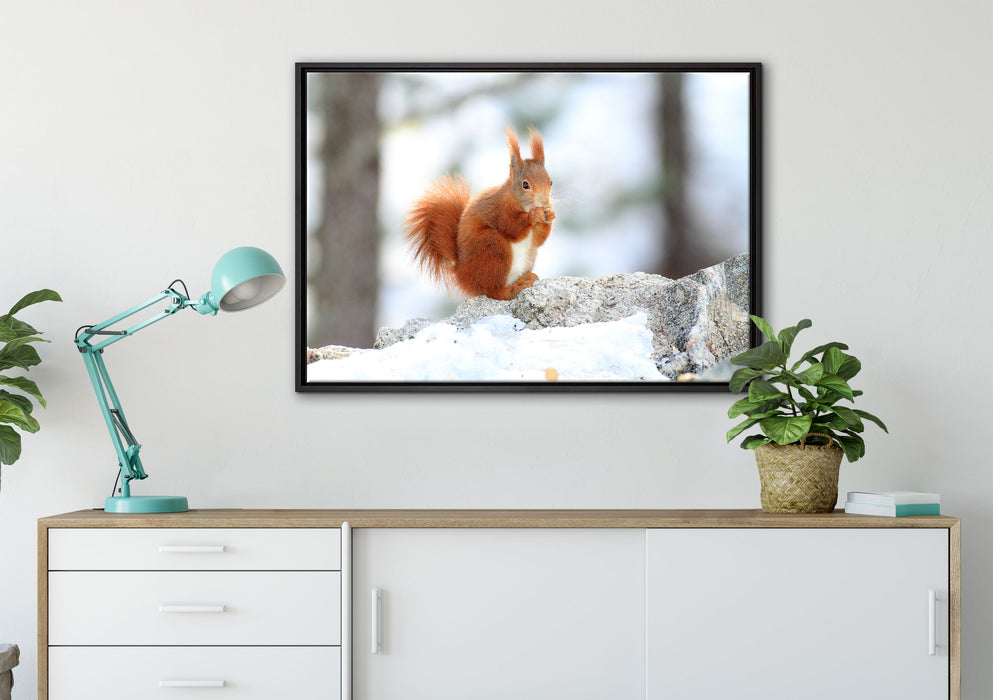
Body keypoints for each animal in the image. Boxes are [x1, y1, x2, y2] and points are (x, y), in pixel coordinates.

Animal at [403, 127, 555, 301]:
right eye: (525, 184)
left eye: (550, 182)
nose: (544, 202)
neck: (520, 203)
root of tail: (461, 274)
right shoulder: (500, 209)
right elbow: (512, 228)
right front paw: (534, 215)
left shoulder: (533, 238)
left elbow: (538, 240)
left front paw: (550, 215)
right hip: (492, 247)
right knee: (492, 290)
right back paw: (514, 289)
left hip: (529, 255)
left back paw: (524, 277)